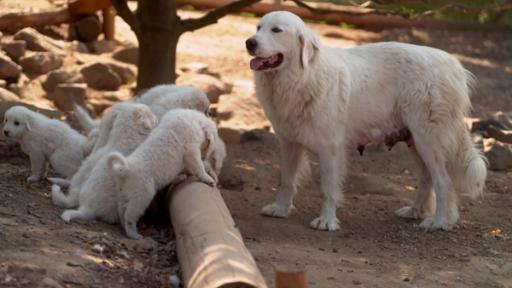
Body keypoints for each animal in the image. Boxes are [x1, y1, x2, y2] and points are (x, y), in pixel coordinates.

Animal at [247, 11, 488, 232]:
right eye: (258, 27)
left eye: (276, 30)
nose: (249, 42)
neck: (301, 77)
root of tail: (454, 65)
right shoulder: (289, 142)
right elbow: (287, 180)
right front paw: (280, 209)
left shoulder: (330, 148)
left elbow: (328, 189)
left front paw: (326, 221)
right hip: (414, 141)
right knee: (427, 178)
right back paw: (415, 212)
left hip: (428, 139)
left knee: (443, 182)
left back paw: (438, 222)